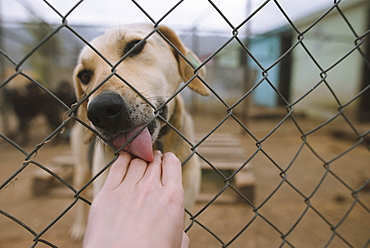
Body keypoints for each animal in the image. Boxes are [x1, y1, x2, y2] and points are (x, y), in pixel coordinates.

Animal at [68, 23, 208, 240]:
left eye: (135, 46)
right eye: (84, 76)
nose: (100, 110)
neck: (156, 144)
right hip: (82, 167)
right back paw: (79, 227)